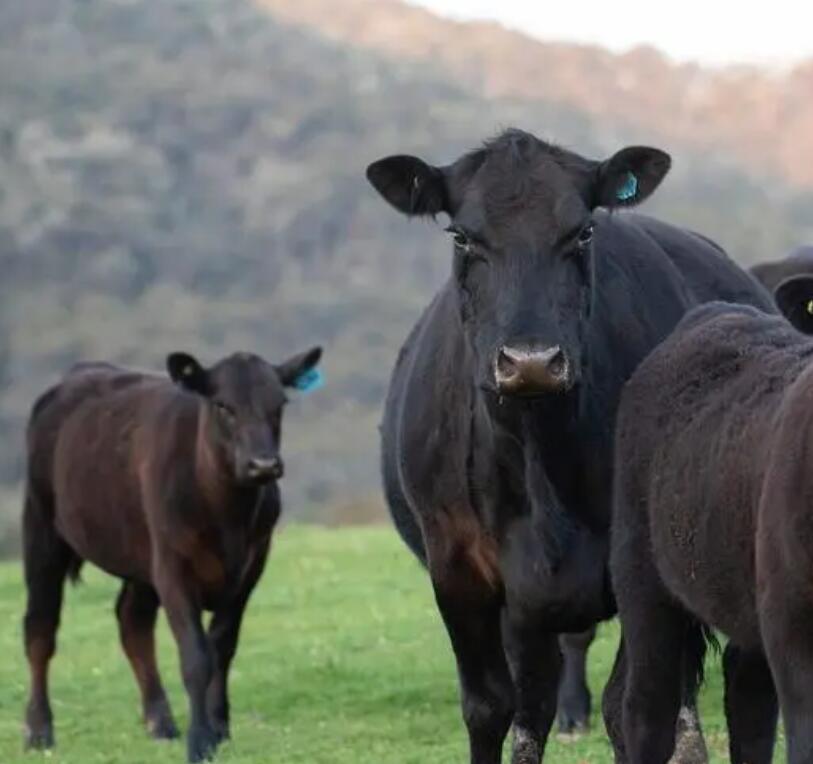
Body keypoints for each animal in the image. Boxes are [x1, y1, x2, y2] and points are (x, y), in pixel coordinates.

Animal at [23, 350, 320, 760]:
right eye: (222, 405)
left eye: (280, 404)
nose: (263, 464)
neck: (228, 516)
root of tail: (77, 375)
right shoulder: (173, 568)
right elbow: (196, 656)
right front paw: (200, 740)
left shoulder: (250, 567)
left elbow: (222, 648)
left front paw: (219, 727)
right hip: (42, 529)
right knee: (40, 629)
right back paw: (39, 731)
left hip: (139, 557)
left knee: (132, 623)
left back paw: (160, 722)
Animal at [366, 130, 772, 764]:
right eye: (462, 236)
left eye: (582, 232)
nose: (530, 361)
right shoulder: (458, 567)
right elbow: (490, 708)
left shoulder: (639, 568)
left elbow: (630, 708)